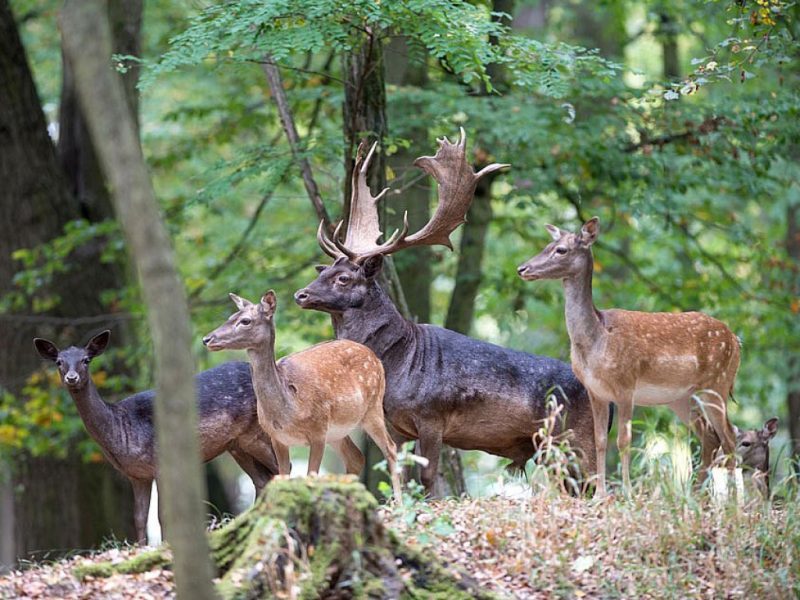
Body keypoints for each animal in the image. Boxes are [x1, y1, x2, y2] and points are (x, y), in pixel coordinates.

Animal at [33, 330, 278, 548]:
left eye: (86, 360)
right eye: (59, 362)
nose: (71, 378)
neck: (124, 432)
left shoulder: (161, 463)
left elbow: (163, 514)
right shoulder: (137, 475)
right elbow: (139, 517)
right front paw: (141, 548)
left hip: (257, 433)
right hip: (237, 445)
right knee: (262, 480)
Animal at [200, 290, 400, 502]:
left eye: (245, 321)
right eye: (230, 317)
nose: (207, 339)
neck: (288, 409)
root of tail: (375, 358)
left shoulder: (318, 431)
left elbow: (310, 476)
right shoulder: (277, 438)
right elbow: (283, 476)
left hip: (373, 407)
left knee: (391, 448)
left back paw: (399, 502)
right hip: (337, 431)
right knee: (356, 458)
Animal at [294, 130, 600, 492]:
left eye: (343, 278)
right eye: (322, 270)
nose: (301, 294)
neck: (398, 363)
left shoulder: (432, 417)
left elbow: (427, 478)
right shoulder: (396, 425)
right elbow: (401, 472)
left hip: (580, 436)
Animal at [516, 218, 740, 494]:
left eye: (561, 250)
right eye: (547, 245)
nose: (522, 268)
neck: (597, 340)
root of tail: (736, 340)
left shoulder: (626, 384)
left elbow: (624, 440)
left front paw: (626, 491)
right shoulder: (595, 391)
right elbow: (600, 440)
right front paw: (600, 494)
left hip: (717, 383)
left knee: (730, 437)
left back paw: (734, 500)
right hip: (682, 397)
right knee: (710, 438)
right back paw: (697, 496)